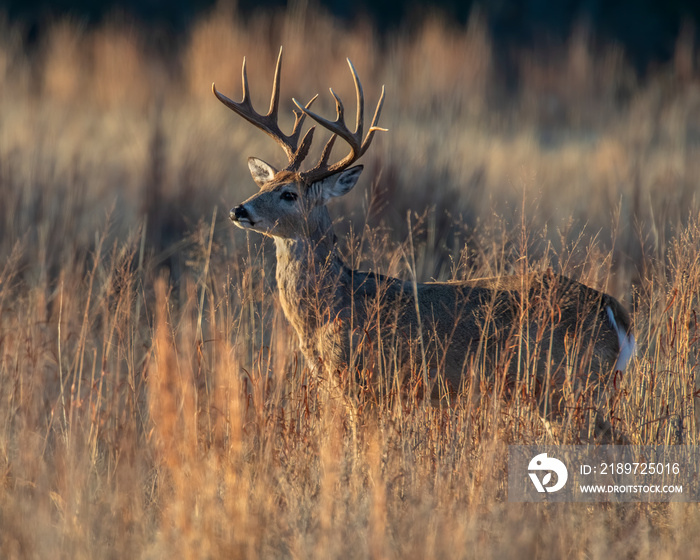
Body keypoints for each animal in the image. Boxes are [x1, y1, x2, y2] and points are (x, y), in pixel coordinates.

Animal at [213, 48, 636, 418]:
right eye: (265, 184)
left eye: (289, 194)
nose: (239, 210)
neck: (330, 308)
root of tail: (615, 313)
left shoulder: (363, 382)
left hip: (563, 383)